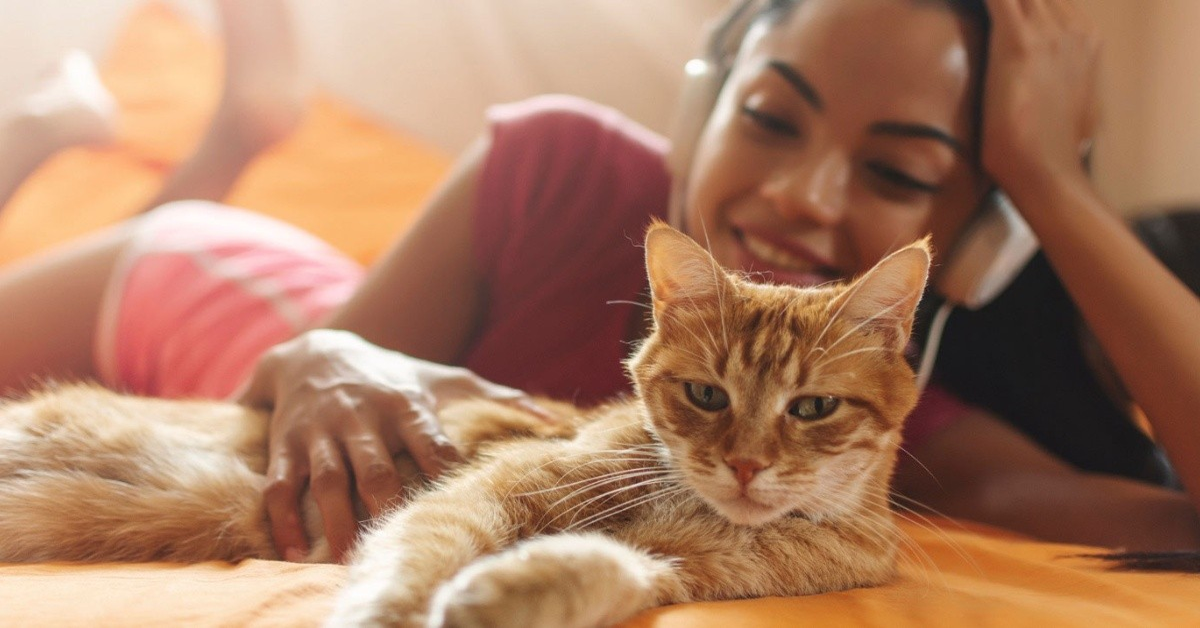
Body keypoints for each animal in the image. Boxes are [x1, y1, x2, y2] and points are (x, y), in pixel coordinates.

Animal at [0, 219, 926, 624]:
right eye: (707, 397)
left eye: (812, 408)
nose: (744, 465)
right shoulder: (490, 488)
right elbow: (418, 557)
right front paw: (392, 611)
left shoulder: (683, 571)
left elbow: (600, 572)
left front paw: (501, 596)